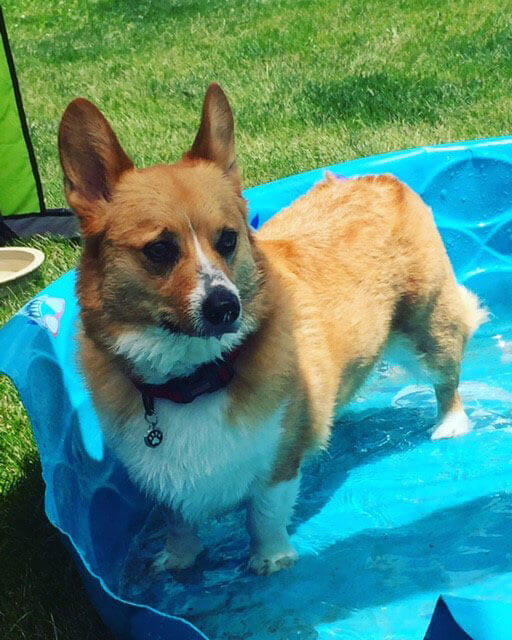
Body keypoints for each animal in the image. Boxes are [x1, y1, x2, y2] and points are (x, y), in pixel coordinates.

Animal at [58, 81, 486, 576]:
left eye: (228, 239)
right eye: (159, 250)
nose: (227, 307)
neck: (193, 379)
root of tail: (382, 180)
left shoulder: (279, 462)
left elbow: (263, 514)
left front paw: (270, 560)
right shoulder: (160, 476)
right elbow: (178, 521)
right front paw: (179, 560)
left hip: (426, 328)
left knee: (446, 376)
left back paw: (450, 424)